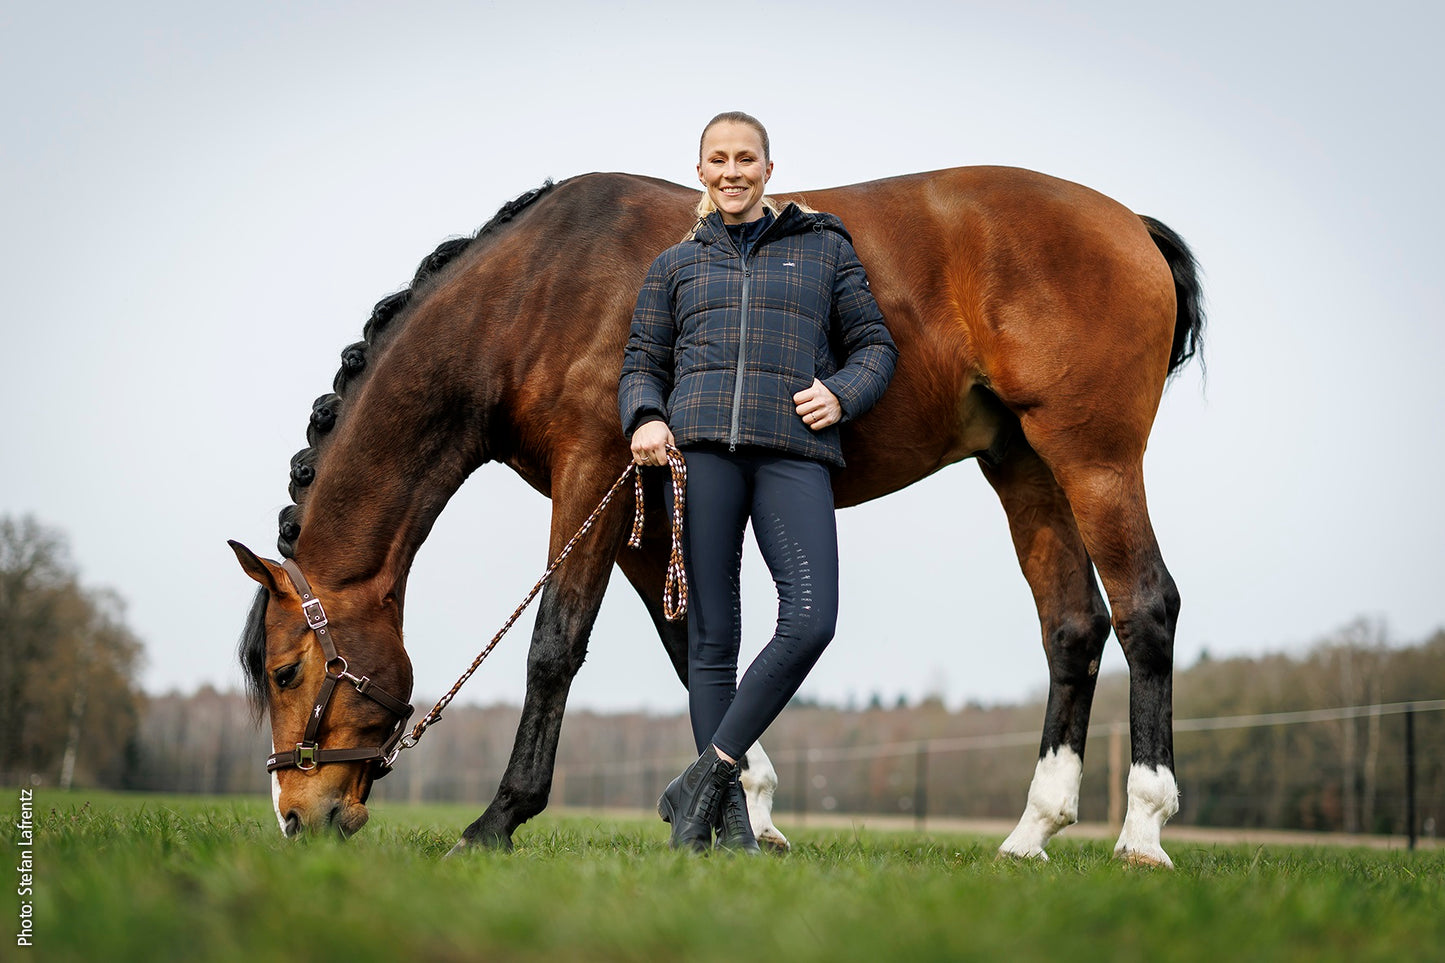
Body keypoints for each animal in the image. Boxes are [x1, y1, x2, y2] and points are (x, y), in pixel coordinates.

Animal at [230, 165, 1203, 866]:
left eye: (285, 671)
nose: (296, 817)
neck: (535, 295)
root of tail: (1129, 224)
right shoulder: (648, 514)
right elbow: (698, 645)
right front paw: (744, 813)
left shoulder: (593, 478)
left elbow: (554, 648)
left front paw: (498, 820)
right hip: (1024, 466)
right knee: (1072, 628)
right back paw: (1032, 832)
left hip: (1093, 461)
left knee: (1145, 609)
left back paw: (1142, 833)